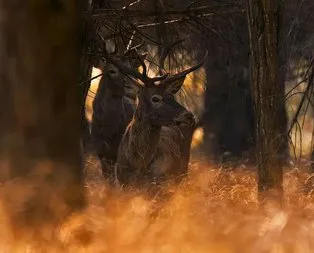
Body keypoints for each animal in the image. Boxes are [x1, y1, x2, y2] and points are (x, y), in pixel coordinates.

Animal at [102, 47, 206, 186]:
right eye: (155, 98)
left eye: (172, 96)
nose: (189, 116)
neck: (138, 165)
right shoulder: (122, 182)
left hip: (182, 170)